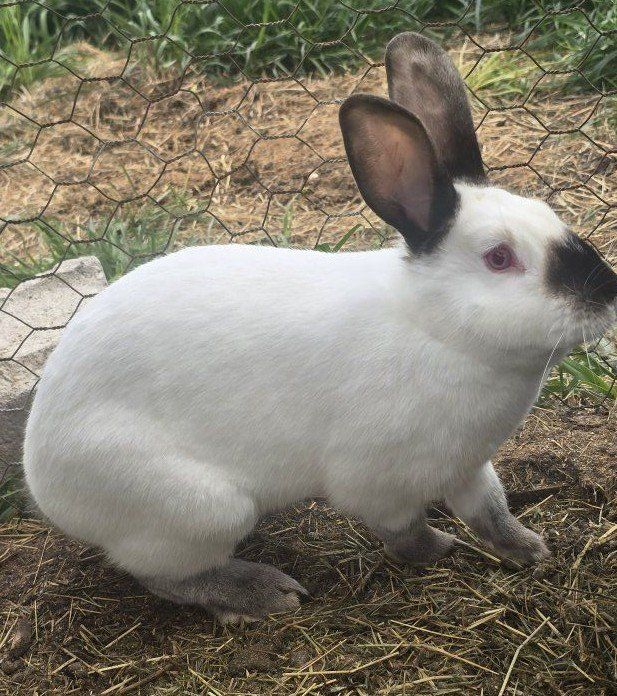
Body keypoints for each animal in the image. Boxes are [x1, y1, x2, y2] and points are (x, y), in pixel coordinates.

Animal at [23, 33, 617, 624]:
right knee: (162, 576)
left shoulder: (468, 465)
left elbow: (490, 510)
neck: (437, 329)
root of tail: (42, 476)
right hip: (203, 510)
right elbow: (403, 529)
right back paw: (263, 592)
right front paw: (438, 551)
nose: (607, 292)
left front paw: (530, 548)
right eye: (498, 258)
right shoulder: (380, 481)